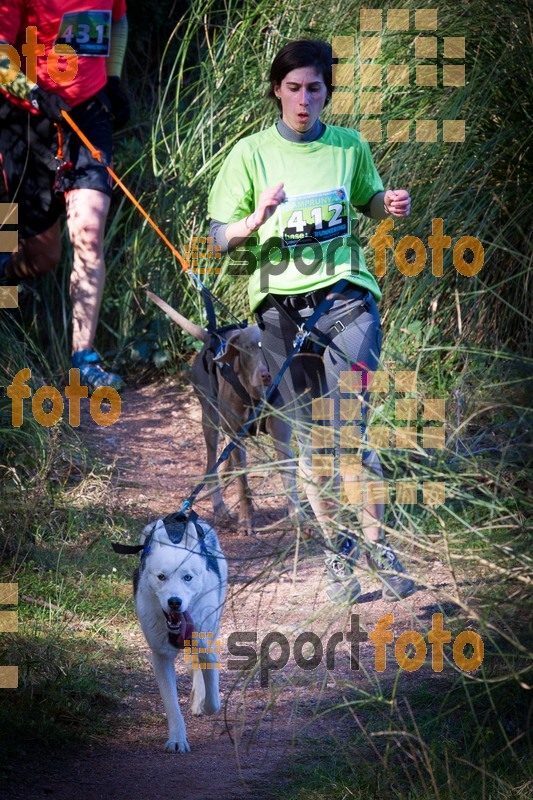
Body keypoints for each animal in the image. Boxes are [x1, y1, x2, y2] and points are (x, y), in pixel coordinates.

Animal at [133, 516, 227, 752]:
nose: (174, 602)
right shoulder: (161, 658)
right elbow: (172, 705)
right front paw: (177, 739)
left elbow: (210, 668)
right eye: (161, 577)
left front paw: (207, 704)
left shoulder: (204, 641)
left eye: (187, 578)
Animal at [147, 290, 300, 536]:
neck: (256, 395)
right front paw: (246, 520)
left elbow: (288, 477)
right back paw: (219, 507)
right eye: (247, 349)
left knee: (224, 462)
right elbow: (243, 484)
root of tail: (210, 338)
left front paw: (298, 519)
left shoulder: (281, 439)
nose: (265, 375)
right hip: (209, 418)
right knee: (211, 467)